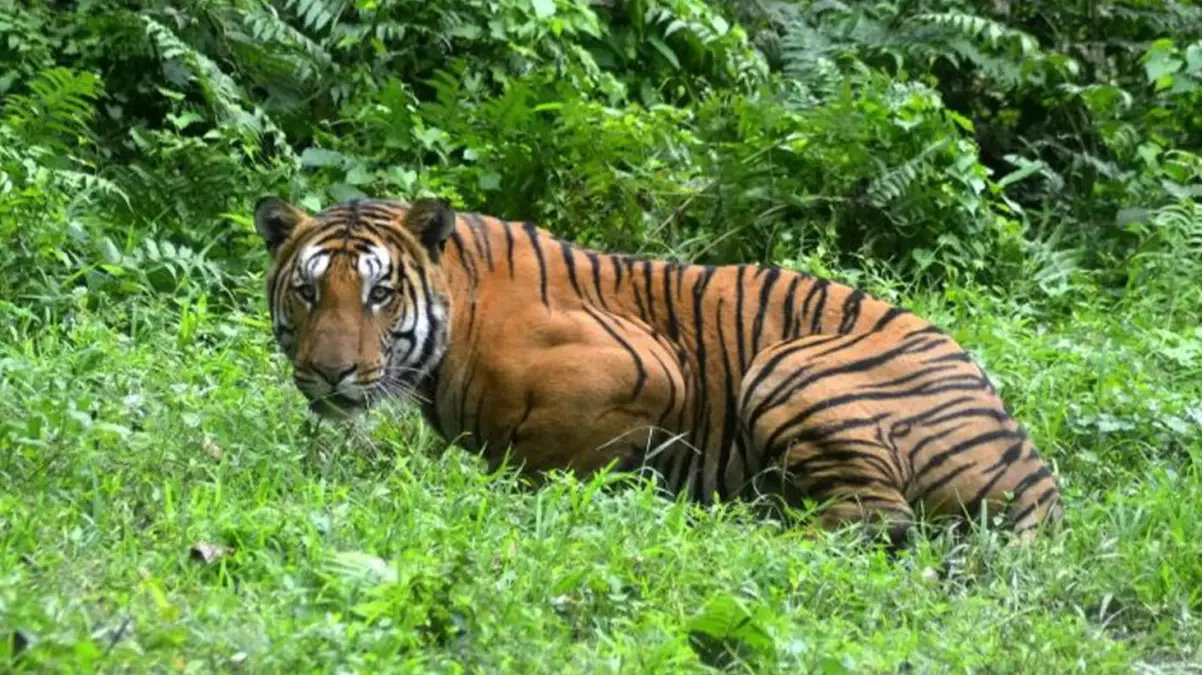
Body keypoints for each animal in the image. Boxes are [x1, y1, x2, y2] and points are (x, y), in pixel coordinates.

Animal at [251, 192, 1062, 542]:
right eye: (309, 290)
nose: (330, 373)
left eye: (380, 293)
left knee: (874, 519)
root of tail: (1036, 475)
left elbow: (544, 459)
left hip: (790, 366)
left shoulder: (648, 368)